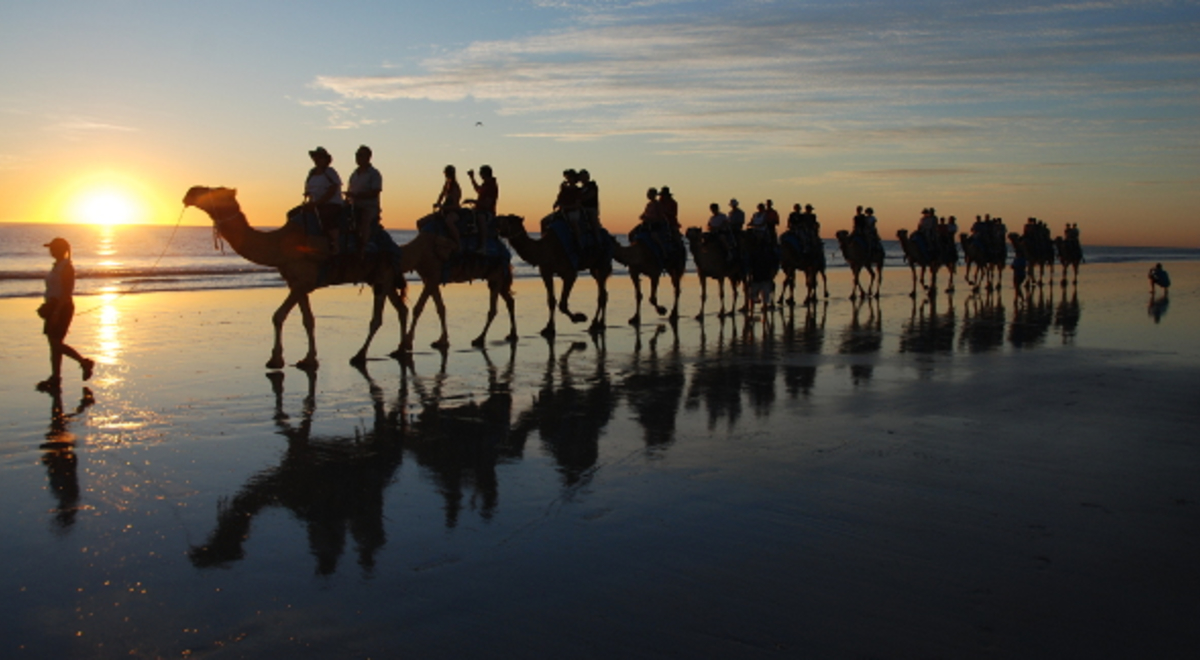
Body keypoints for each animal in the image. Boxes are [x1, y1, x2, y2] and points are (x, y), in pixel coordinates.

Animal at [184, 188, 451, 369]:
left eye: (213, 190)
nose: (189, 193)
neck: (280, 244)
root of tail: (393, 245)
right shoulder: (298, 283)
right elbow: (306, 319)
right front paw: (306, 358)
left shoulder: (303, 281)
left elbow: (279, 315)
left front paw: (276, 359)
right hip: (380, 278)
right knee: (401, 309)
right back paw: (401, 348)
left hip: (382, 277)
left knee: (377, 319)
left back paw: (361, 355)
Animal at [405, 216, 518, 352]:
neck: (419, 250)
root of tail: (506, 252)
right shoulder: (430, 279)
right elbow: (440, 308)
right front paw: (442, 340)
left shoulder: (433, 276)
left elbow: (418, 308)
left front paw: (407, 342)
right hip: (497, 278)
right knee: (510, 301)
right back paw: (512, 334)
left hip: (497, 275)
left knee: (493, 309)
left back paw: (479, 339)